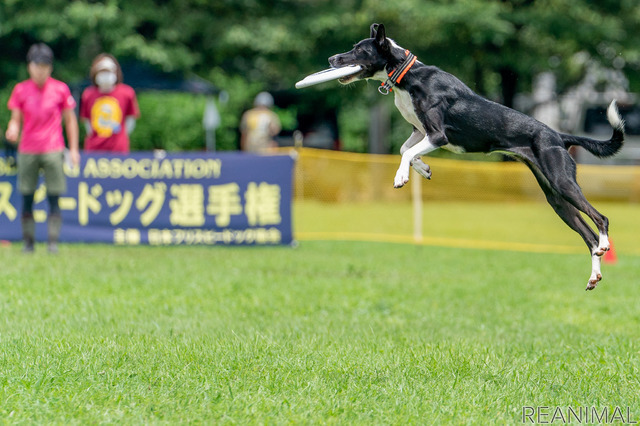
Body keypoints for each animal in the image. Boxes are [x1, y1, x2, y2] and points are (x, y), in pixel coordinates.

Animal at [330, 22, 624, 290]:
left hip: (563, 182)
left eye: (359, 50)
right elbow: (405, 150)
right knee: (588, 236)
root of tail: (558, 136)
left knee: (601, 219)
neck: (408, 74)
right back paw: (594, 274)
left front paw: (401, 176)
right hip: (556, 199)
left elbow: (407, 153)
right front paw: (423, 169)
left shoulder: (437, 135)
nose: (332, 59)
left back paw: (605, 244)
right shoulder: (420, 131)